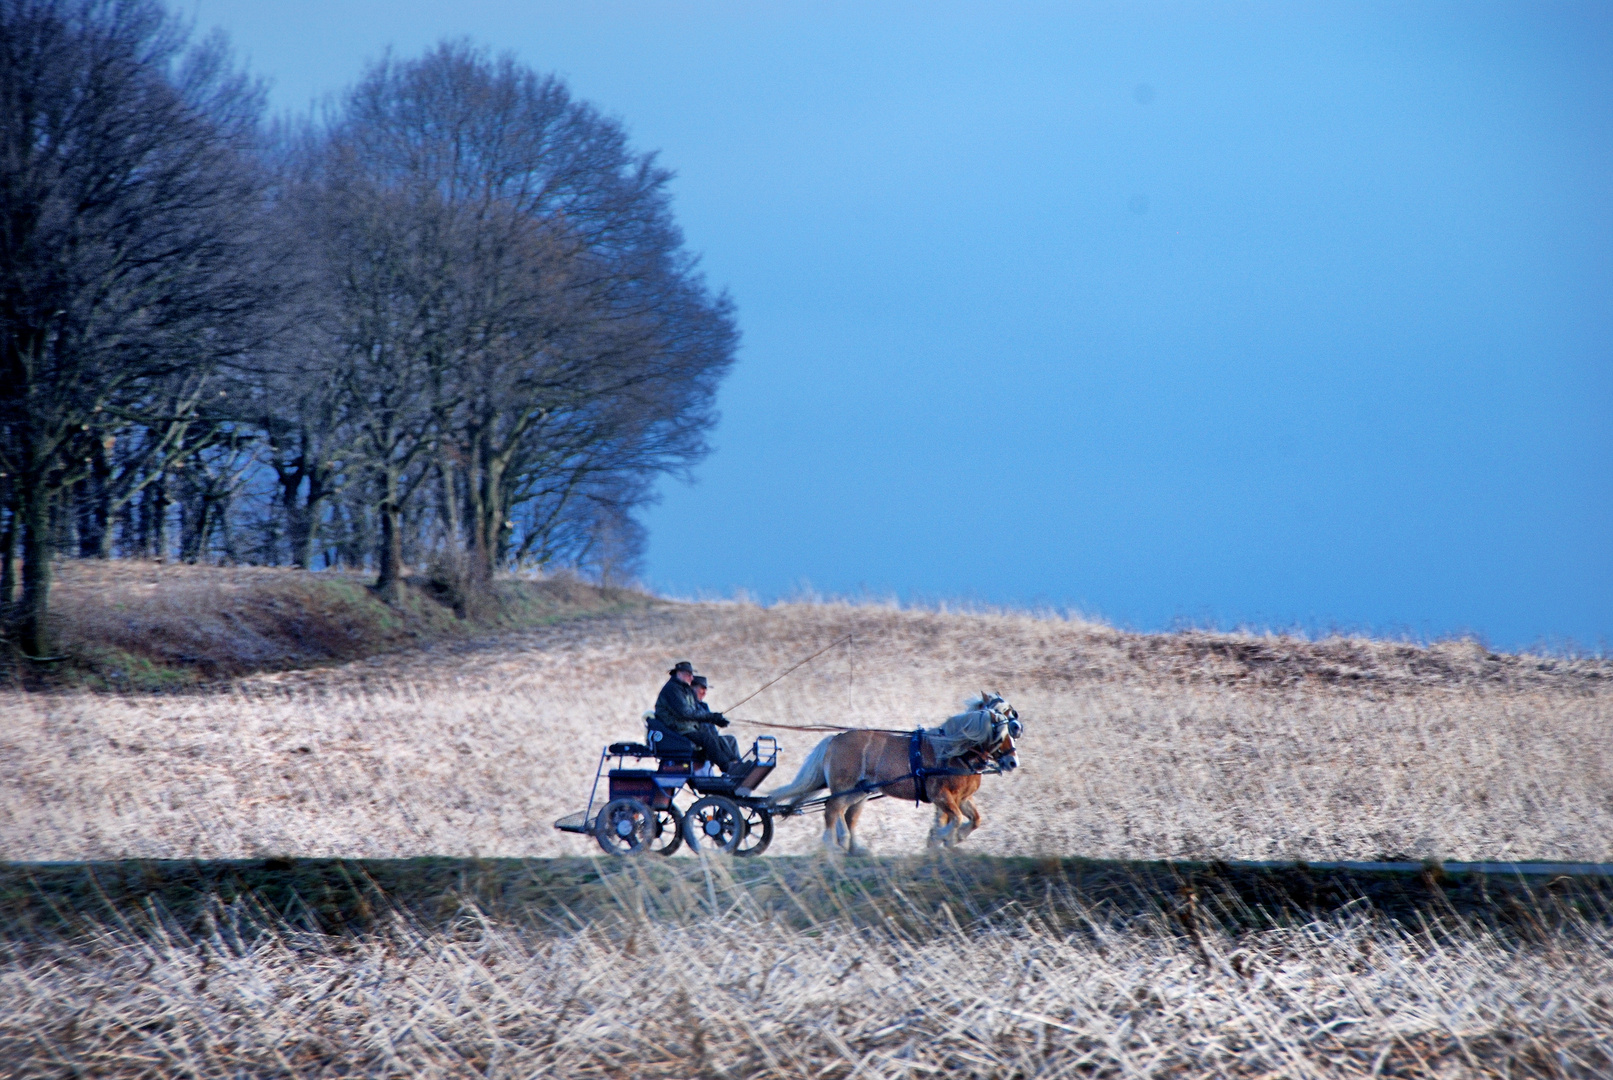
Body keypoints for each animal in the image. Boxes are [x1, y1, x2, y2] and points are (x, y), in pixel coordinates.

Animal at [758, 699, 1012, 857]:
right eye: (1002, 732)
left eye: (1013, 729)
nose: (1012, 761)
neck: (952, 751)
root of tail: (835, 738)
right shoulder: (941, 796)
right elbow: (955, 819)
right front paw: (941, 839)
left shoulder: (961, 798)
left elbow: (974, 819)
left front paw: (949, 840)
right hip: (846, 787)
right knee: (832, 809)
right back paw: (833, 846)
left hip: (858, 791)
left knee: (845, 814)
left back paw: (852, 846)